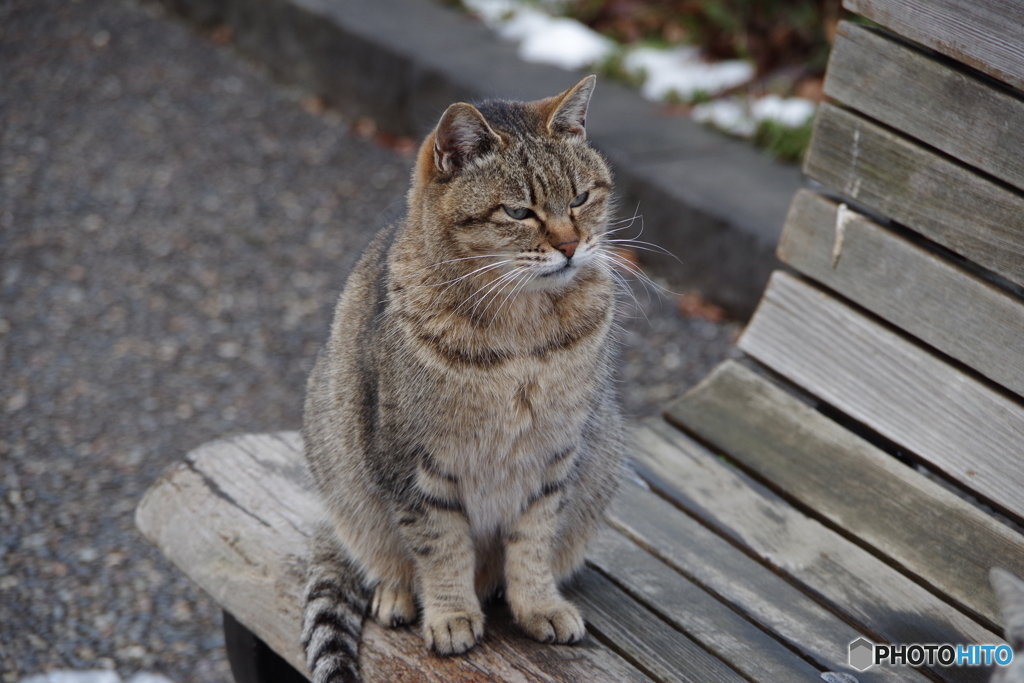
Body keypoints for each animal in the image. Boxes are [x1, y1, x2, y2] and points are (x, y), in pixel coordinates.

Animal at [299, 76, 626, 683]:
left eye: (579, 198)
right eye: (519, 211)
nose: (571, 246)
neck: (524, 333)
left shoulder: (552, 458)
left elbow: (532, 542)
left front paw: (538, 605)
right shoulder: (413, 465)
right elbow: (441, 548)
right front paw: (450, 615)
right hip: (345, 484)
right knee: (383, 557)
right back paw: (397, 594)